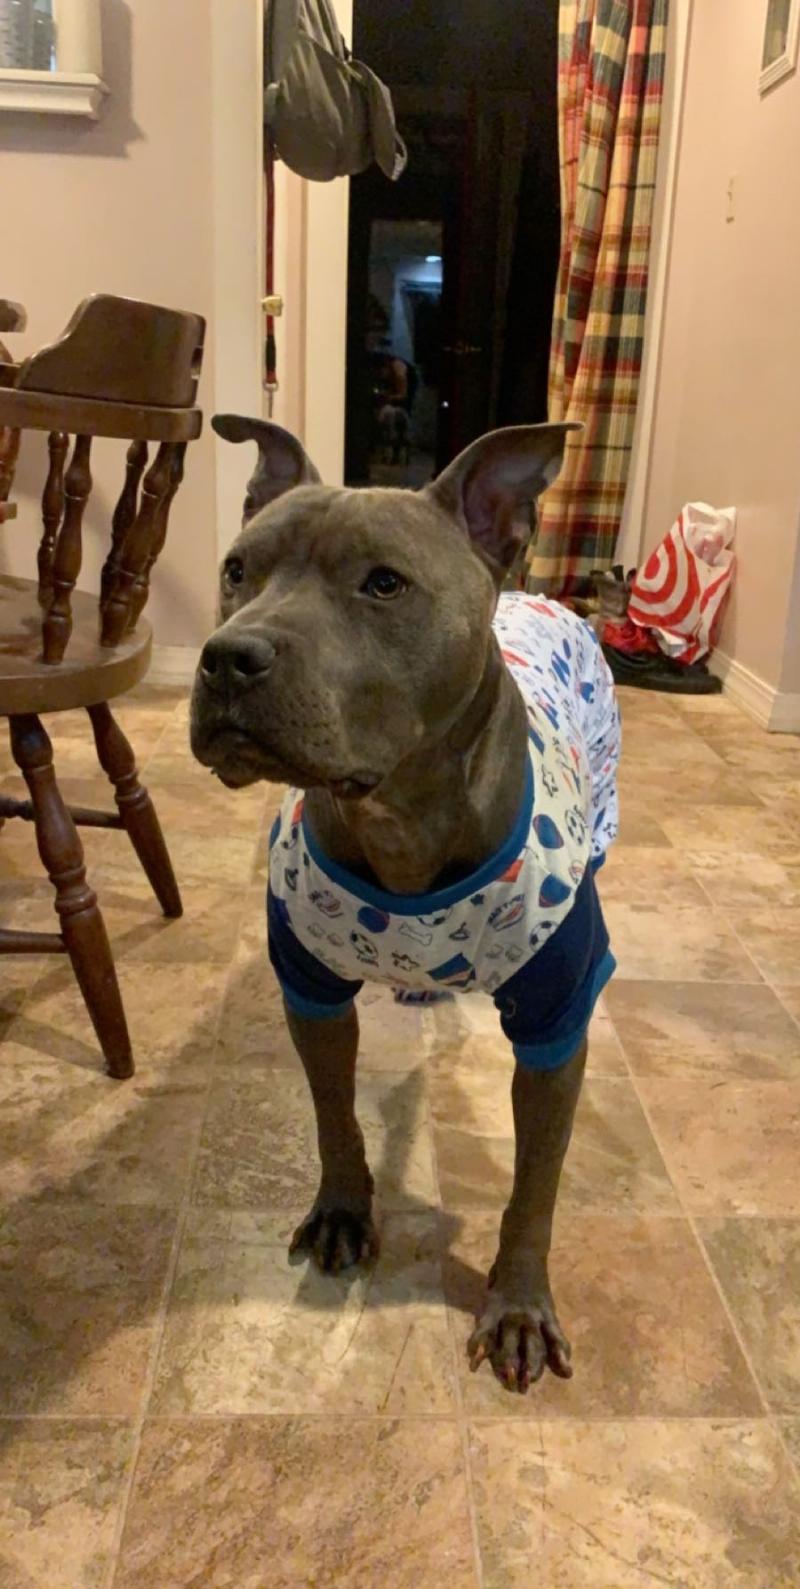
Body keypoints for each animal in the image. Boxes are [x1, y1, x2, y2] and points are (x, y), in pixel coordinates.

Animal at [192, 413, 621, 1394]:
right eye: (237, 568)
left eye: (384, 583)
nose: (228, 656)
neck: (397, 814)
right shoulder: (311, 990)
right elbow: (334, 1116)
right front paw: (344, 1210)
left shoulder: (555, 1029)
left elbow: (534, 1186)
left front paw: (518, 1305)